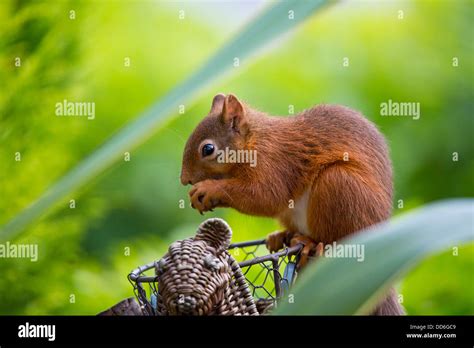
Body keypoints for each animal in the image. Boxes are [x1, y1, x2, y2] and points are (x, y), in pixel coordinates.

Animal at [181, 92, 404, 316]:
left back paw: (311, 243)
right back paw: (282, 236)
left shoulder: (275, 164)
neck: (253, 141)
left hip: (339, 185)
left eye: (208, 149)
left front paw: (209, 189)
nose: (184, 180)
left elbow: (265, 197)